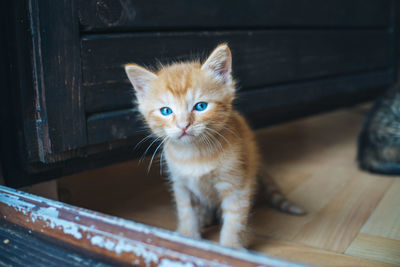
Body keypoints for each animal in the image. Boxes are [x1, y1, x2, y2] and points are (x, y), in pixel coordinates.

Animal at [124, 44, 304, 249]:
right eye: (166, 111)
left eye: (201, 106)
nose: (183, 125)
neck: (195, 154)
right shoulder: (181, 185)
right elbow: (186, 212)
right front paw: (187, 236)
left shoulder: (237, 185)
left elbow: (235, 220)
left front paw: (230, 247)